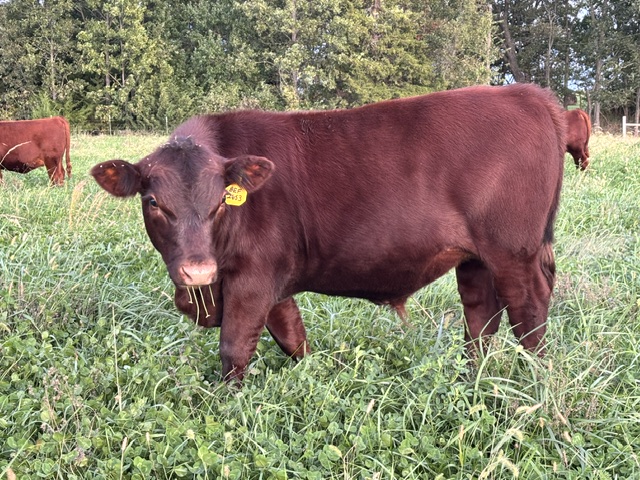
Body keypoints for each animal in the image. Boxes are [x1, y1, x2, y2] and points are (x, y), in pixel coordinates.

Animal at [91, 83, 566, 383]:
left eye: (222, 201)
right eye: (154, 202)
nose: (197, 270)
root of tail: (528, 94)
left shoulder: (252, 279)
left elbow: (235, 348)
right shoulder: (276, 283)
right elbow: (293, 338)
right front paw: (310, 377)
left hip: (513, 251)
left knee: (529, 313)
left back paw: (536, 383)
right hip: (475, 257)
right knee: (480, 317)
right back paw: (473, 379)